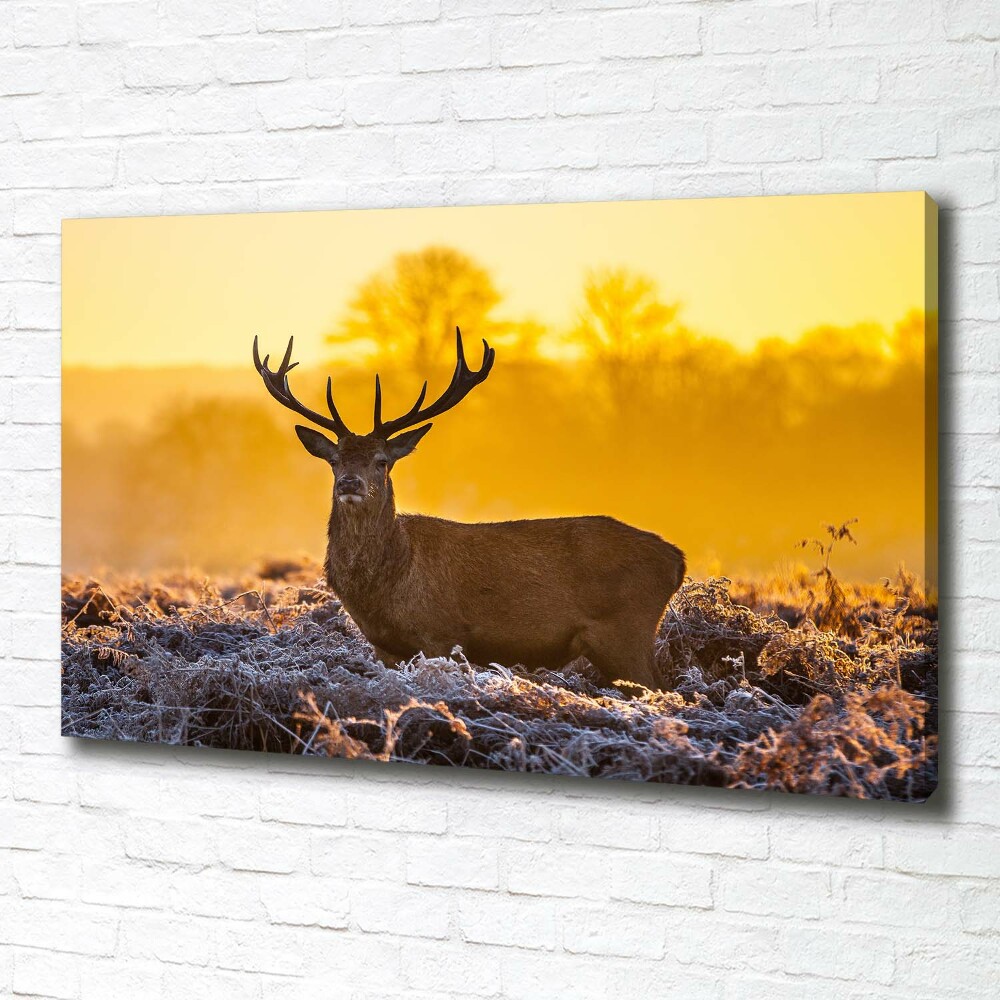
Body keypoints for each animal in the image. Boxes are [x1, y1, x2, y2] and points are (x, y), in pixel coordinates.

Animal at [254, 332, 684, 692]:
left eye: (381, 461)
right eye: (335, 461)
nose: (349, 484)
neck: (388, 583)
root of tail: (676, 559)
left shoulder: (440, 633)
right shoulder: (384, 646)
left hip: (624, 631)